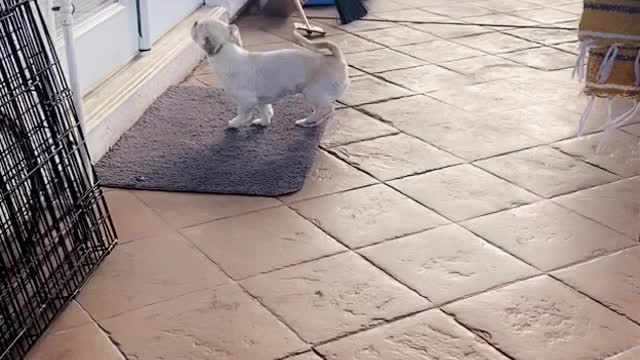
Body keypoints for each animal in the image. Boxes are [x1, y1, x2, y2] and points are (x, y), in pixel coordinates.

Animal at [190, 18, 350, 128]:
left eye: (198, 27)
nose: (195, 21)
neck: (225, 48)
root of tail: (337, 58)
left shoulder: (246, 101)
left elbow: (242, 115)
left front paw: (234, 123)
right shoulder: (261, 100)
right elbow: (266, 111)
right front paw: (263, 122)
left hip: (313, 93)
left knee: (327, 108)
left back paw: (308, 120)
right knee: (326, 110)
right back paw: (310, 122)